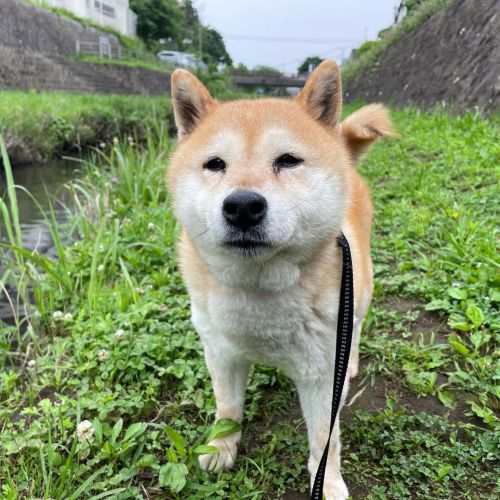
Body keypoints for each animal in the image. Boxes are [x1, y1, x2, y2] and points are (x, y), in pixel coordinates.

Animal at [168, 60, 394, 498]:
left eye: (288, 160)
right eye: (215, 164)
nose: (242, 205)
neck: (260, 296)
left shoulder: (322, 374)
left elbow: (325, 439)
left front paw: (328, 483)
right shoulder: (220, 353)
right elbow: (228, 408)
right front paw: (222, 447)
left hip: (360, 289)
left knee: (357, 324)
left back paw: (354, 359)